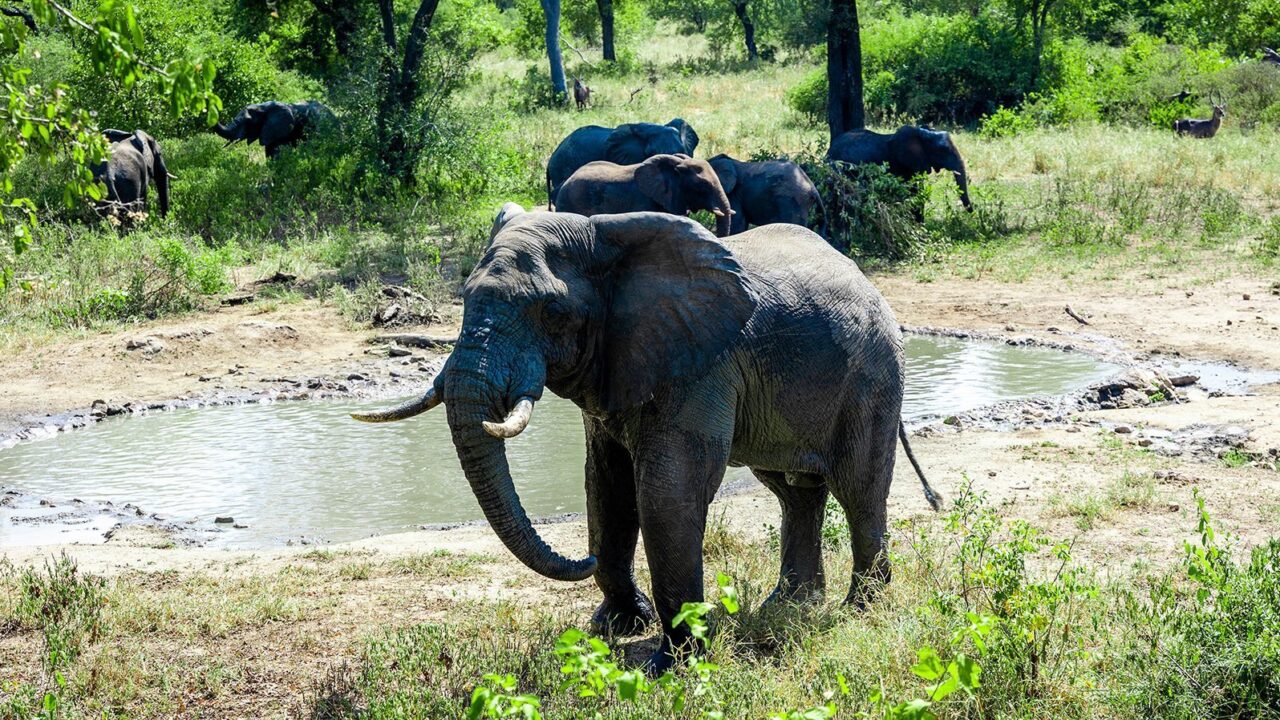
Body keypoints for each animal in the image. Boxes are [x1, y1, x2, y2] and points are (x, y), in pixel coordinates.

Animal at [353, 206, 941, 671]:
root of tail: (868, 282)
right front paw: (616, 626)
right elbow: (605, 487)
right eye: (465, 297)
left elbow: (666, 493)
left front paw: (670, 665)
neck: (603, 236)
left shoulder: (702, 364)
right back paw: (789, 606)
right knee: (795, 490)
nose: (582, 562)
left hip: (873, 375)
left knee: (859, 489)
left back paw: (859, 610)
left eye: (552, 311)